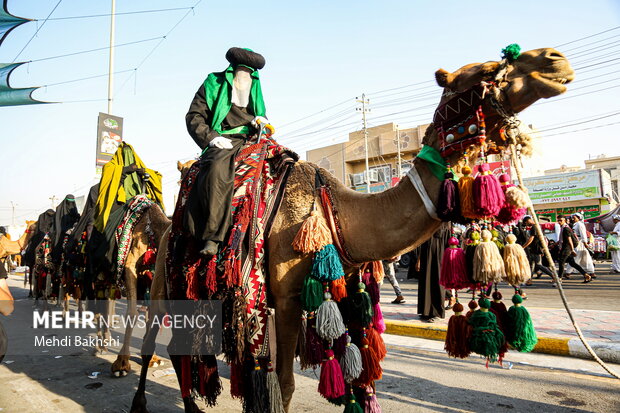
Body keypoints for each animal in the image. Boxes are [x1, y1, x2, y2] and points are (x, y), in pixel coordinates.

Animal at [131, 48, 576, 412]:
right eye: (483, 71)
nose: (555, 61)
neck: (338, 213)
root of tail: (168, 227)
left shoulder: (338, 286)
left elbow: (352, 372)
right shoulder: (287, 298)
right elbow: (286, 384)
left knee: (180, 349)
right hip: (164, 281)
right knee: (155, 340)